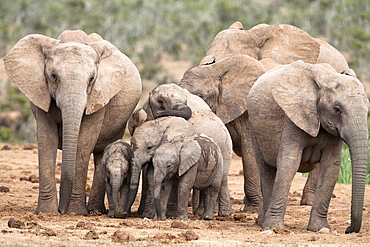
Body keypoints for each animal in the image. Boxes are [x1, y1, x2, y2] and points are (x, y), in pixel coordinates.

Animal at [3, 29, 142, 214]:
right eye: (53, 76)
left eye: (92, 79)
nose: (61, 210)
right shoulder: (39, 92)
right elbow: (46, 139)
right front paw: (47, 212)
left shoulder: (99, 96)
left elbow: (84, 142)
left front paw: (75, 212)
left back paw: (95, 211)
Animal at [125, 84, 233, 217]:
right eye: (160, 101)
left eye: (186, 101)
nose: (161, 113)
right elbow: (149, 174)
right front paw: (147, 214)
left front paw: (170, 214)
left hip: (225, 147)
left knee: (222, 177)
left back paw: (222, 213)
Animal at [247, 60, 368, 233]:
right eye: (337, 109)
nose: (348, 229)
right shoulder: (293, 116)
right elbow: (289, 162)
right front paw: (275, 228)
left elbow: (331, 166)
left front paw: (320, 229)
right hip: (254, 128)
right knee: (266, 170)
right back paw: (263, 224)